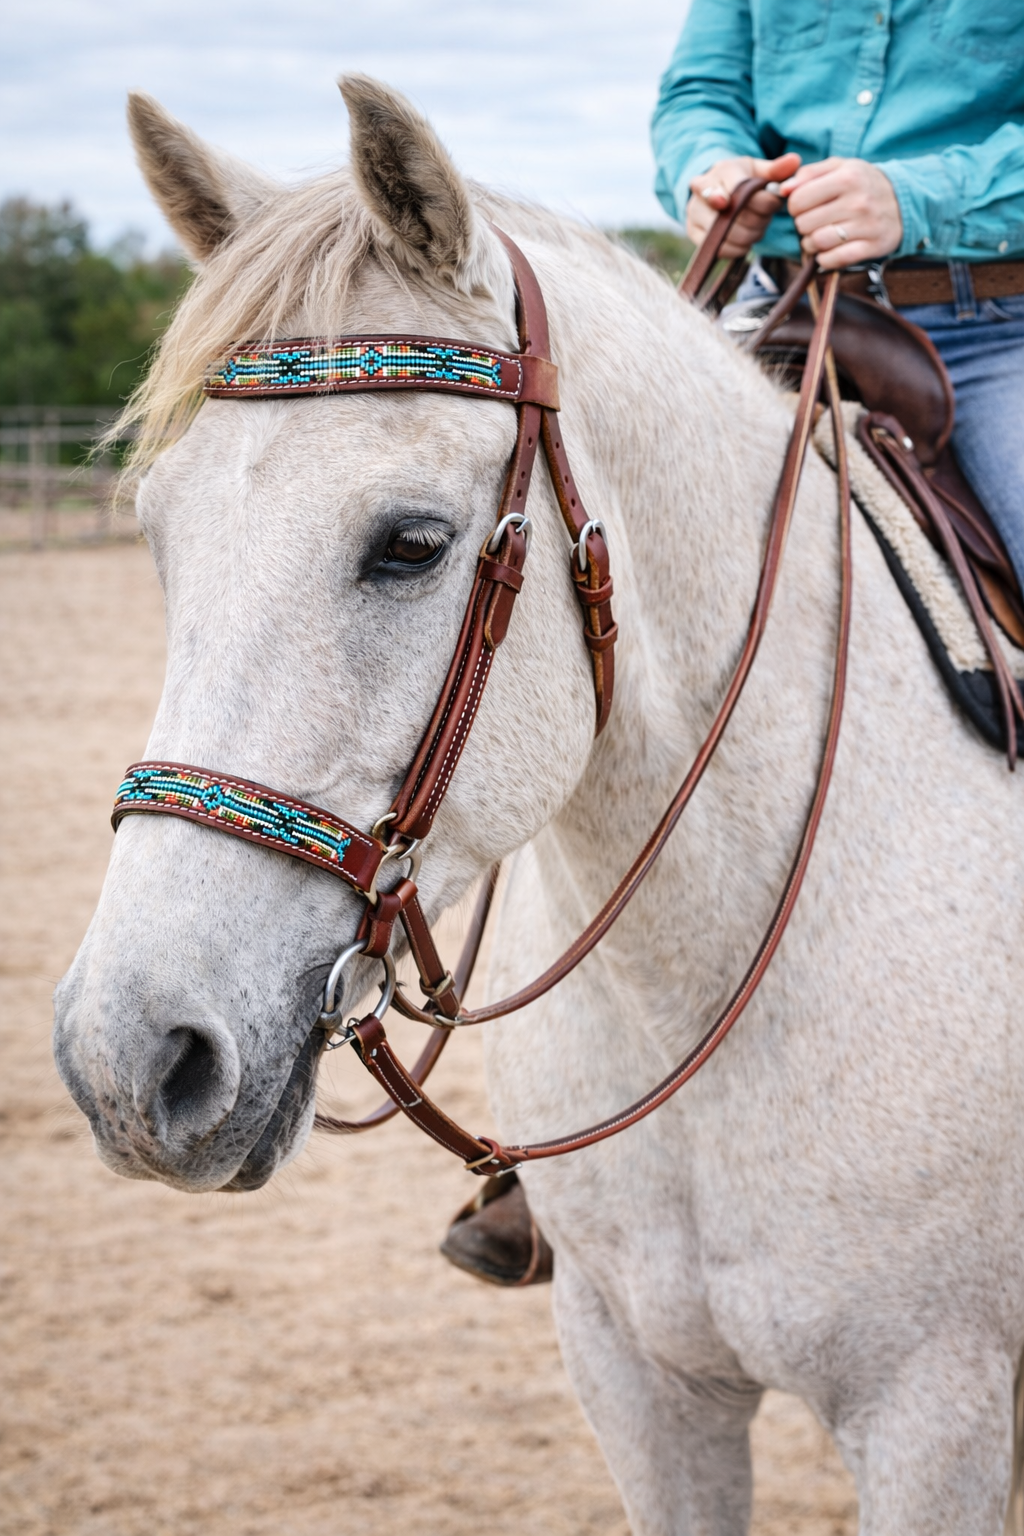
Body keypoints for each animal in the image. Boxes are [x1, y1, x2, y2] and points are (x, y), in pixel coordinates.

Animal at [53, 76, 1024, 1534]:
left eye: (410, 544)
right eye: (161, 535)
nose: (128, 1062)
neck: (713, 973)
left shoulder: (934, 1412)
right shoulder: (640, 1383)